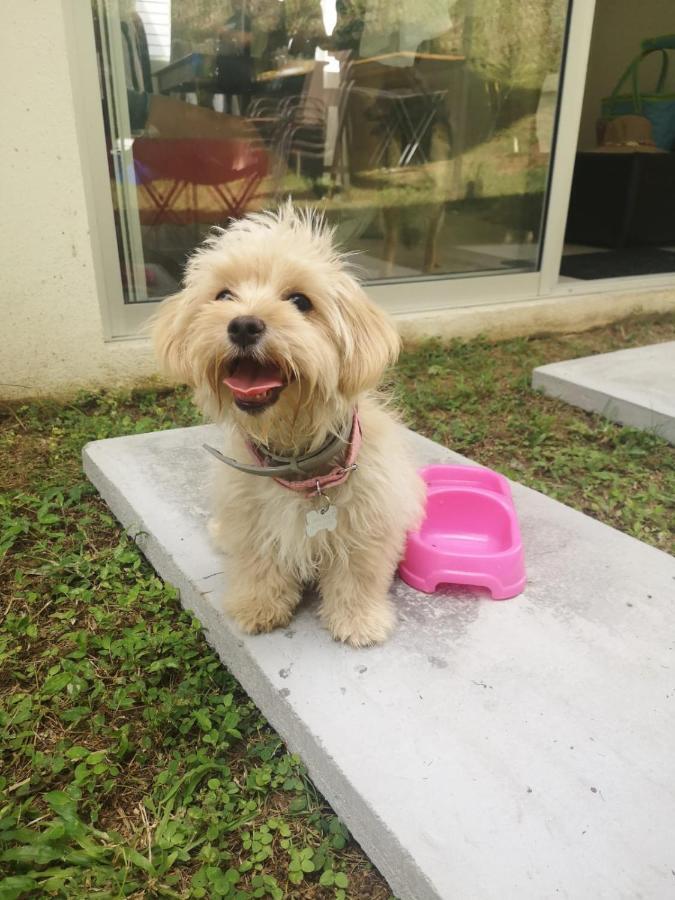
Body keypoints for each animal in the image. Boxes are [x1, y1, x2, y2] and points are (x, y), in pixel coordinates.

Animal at [154, 205, 422, 648]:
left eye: (300, 301)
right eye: (223, 295)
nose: (243, 325)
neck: (299, 460)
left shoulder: (369, 522)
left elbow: (358, 575)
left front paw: (359, 621)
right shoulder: (250, 520)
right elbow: (258, 565)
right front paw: (257, 607)